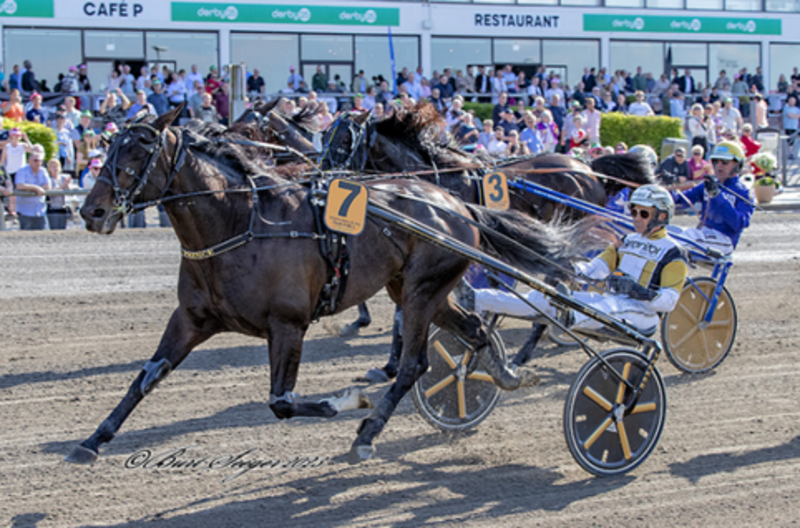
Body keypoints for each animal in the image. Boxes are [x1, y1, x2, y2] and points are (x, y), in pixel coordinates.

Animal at [67, 106, 592, 466]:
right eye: (108, 148)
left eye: (140, 150)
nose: (91, 211)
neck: (239, 223)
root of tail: (455, 204)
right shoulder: (191, 319)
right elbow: (145, 377)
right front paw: (93, 440)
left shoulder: (288, 325)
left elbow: (281, 403)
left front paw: (349, 400)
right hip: (416, 288)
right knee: (473, 331)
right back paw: (507, 373)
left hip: (422, 290)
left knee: (415, 364)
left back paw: (367, 433)